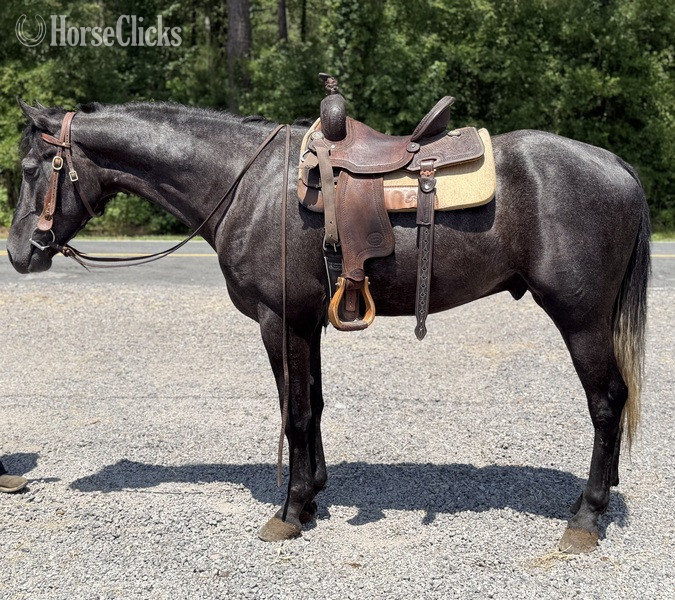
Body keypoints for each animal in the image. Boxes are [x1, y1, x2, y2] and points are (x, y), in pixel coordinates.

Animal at [7, 100, 649, 553]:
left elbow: (293, 411)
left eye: (31, 167)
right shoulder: (308, 321)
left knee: (606, 403)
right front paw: (313, 495)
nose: (18, 253)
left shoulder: (280, 319)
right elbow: (312, 404)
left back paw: (587, 516)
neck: (247, 183)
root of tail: (618, 165)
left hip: (580, 318)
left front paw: (289, 511)